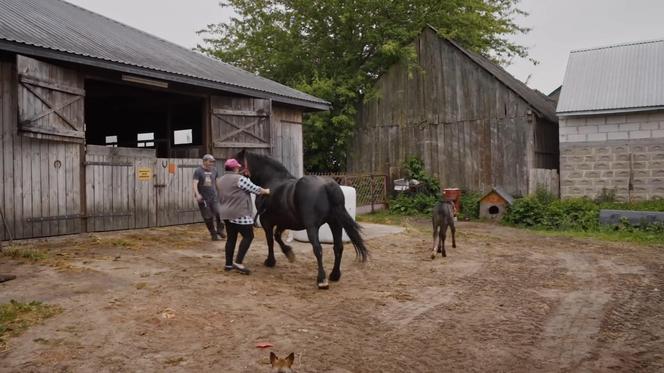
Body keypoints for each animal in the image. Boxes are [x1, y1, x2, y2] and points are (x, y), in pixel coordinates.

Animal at [233, 150, 368, 290]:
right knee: (338, 247)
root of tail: (327, 185)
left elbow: (270, 240)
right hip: (335, 223)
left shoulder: (267, 222)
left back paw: (322, 280)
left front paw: (270, 261)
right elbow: (277, 237)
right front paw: (289, 253)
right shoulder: (283, 222)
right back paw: (334, 275)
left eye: (236, 161)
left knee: (318, 249)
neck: (272, 181)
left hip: (312, 227)